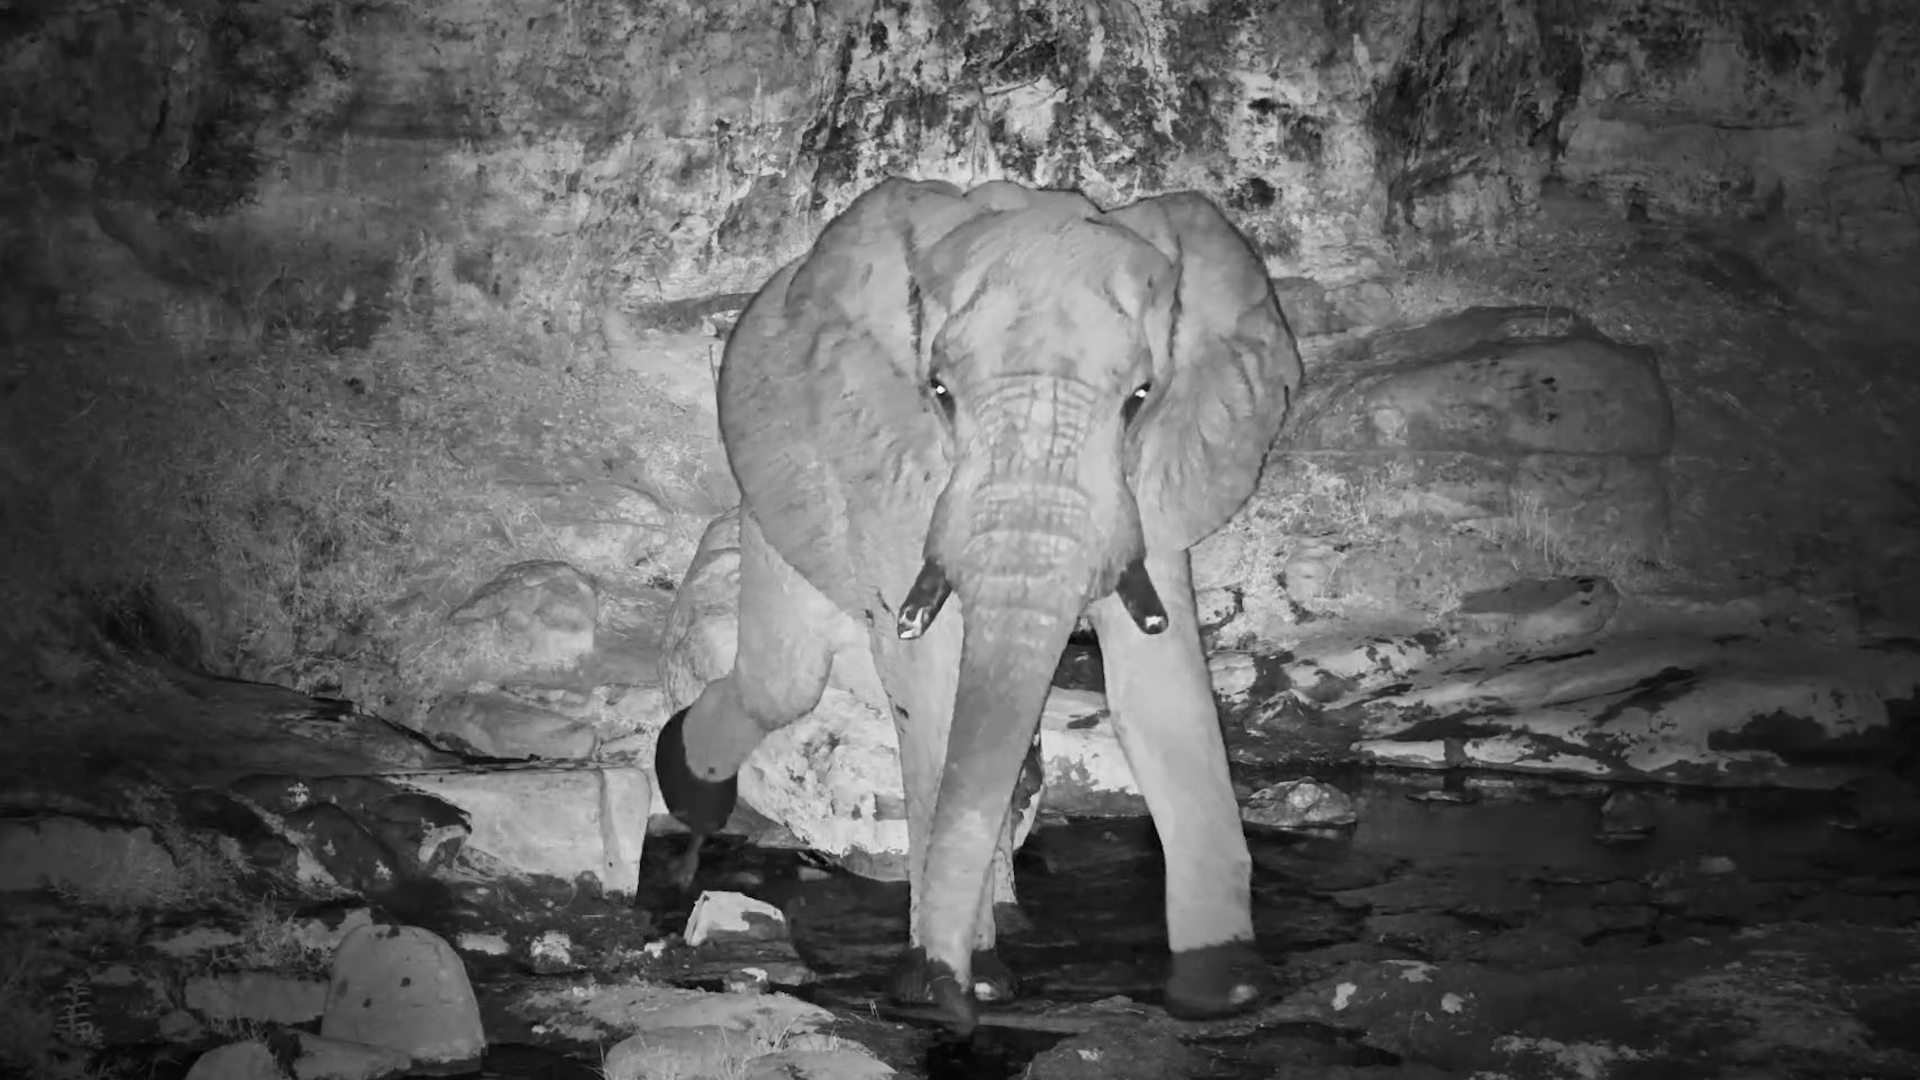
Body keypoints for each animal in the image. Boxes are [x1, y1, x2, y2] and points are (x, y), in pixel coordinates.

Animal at [653, 176, 1305, 1031]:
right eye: (939, 393)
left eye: (1140, 397)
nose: (940, 997)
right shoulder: (888, 469)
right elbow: (928, 682)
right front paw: (947, 985)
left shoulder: (1155, 487)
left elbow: (1160, 690)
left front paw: (1226, 991)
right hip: (775, 504)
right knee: (783, 681)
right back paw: (683, 784)